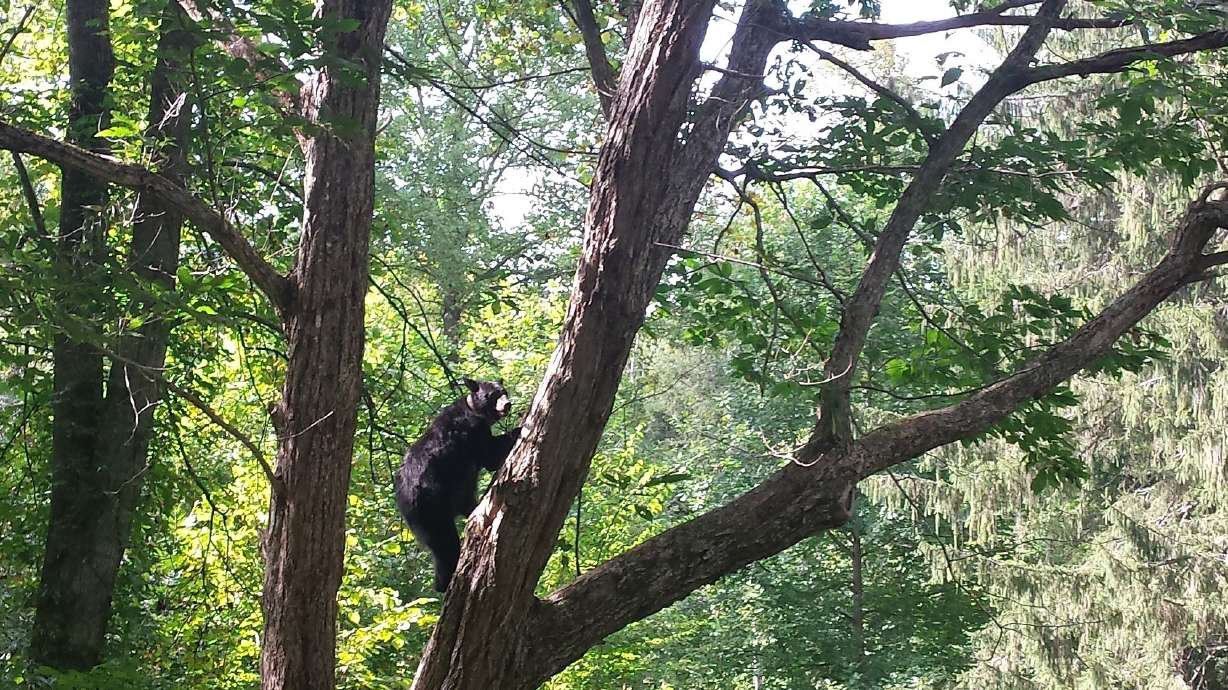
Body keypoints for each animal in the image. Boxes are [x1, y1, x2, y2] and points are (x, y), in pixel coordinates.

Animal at [395, 378, 520, 592]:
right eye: (492, 395)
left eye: (504, 391)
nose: (507, 404)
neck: (475, 411)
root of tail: (402, 501)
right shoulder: (472, 432)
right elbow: (490, 454)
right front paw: (517, 430)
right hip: (430, 507)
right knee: (445, 544)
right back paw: (445, 581)